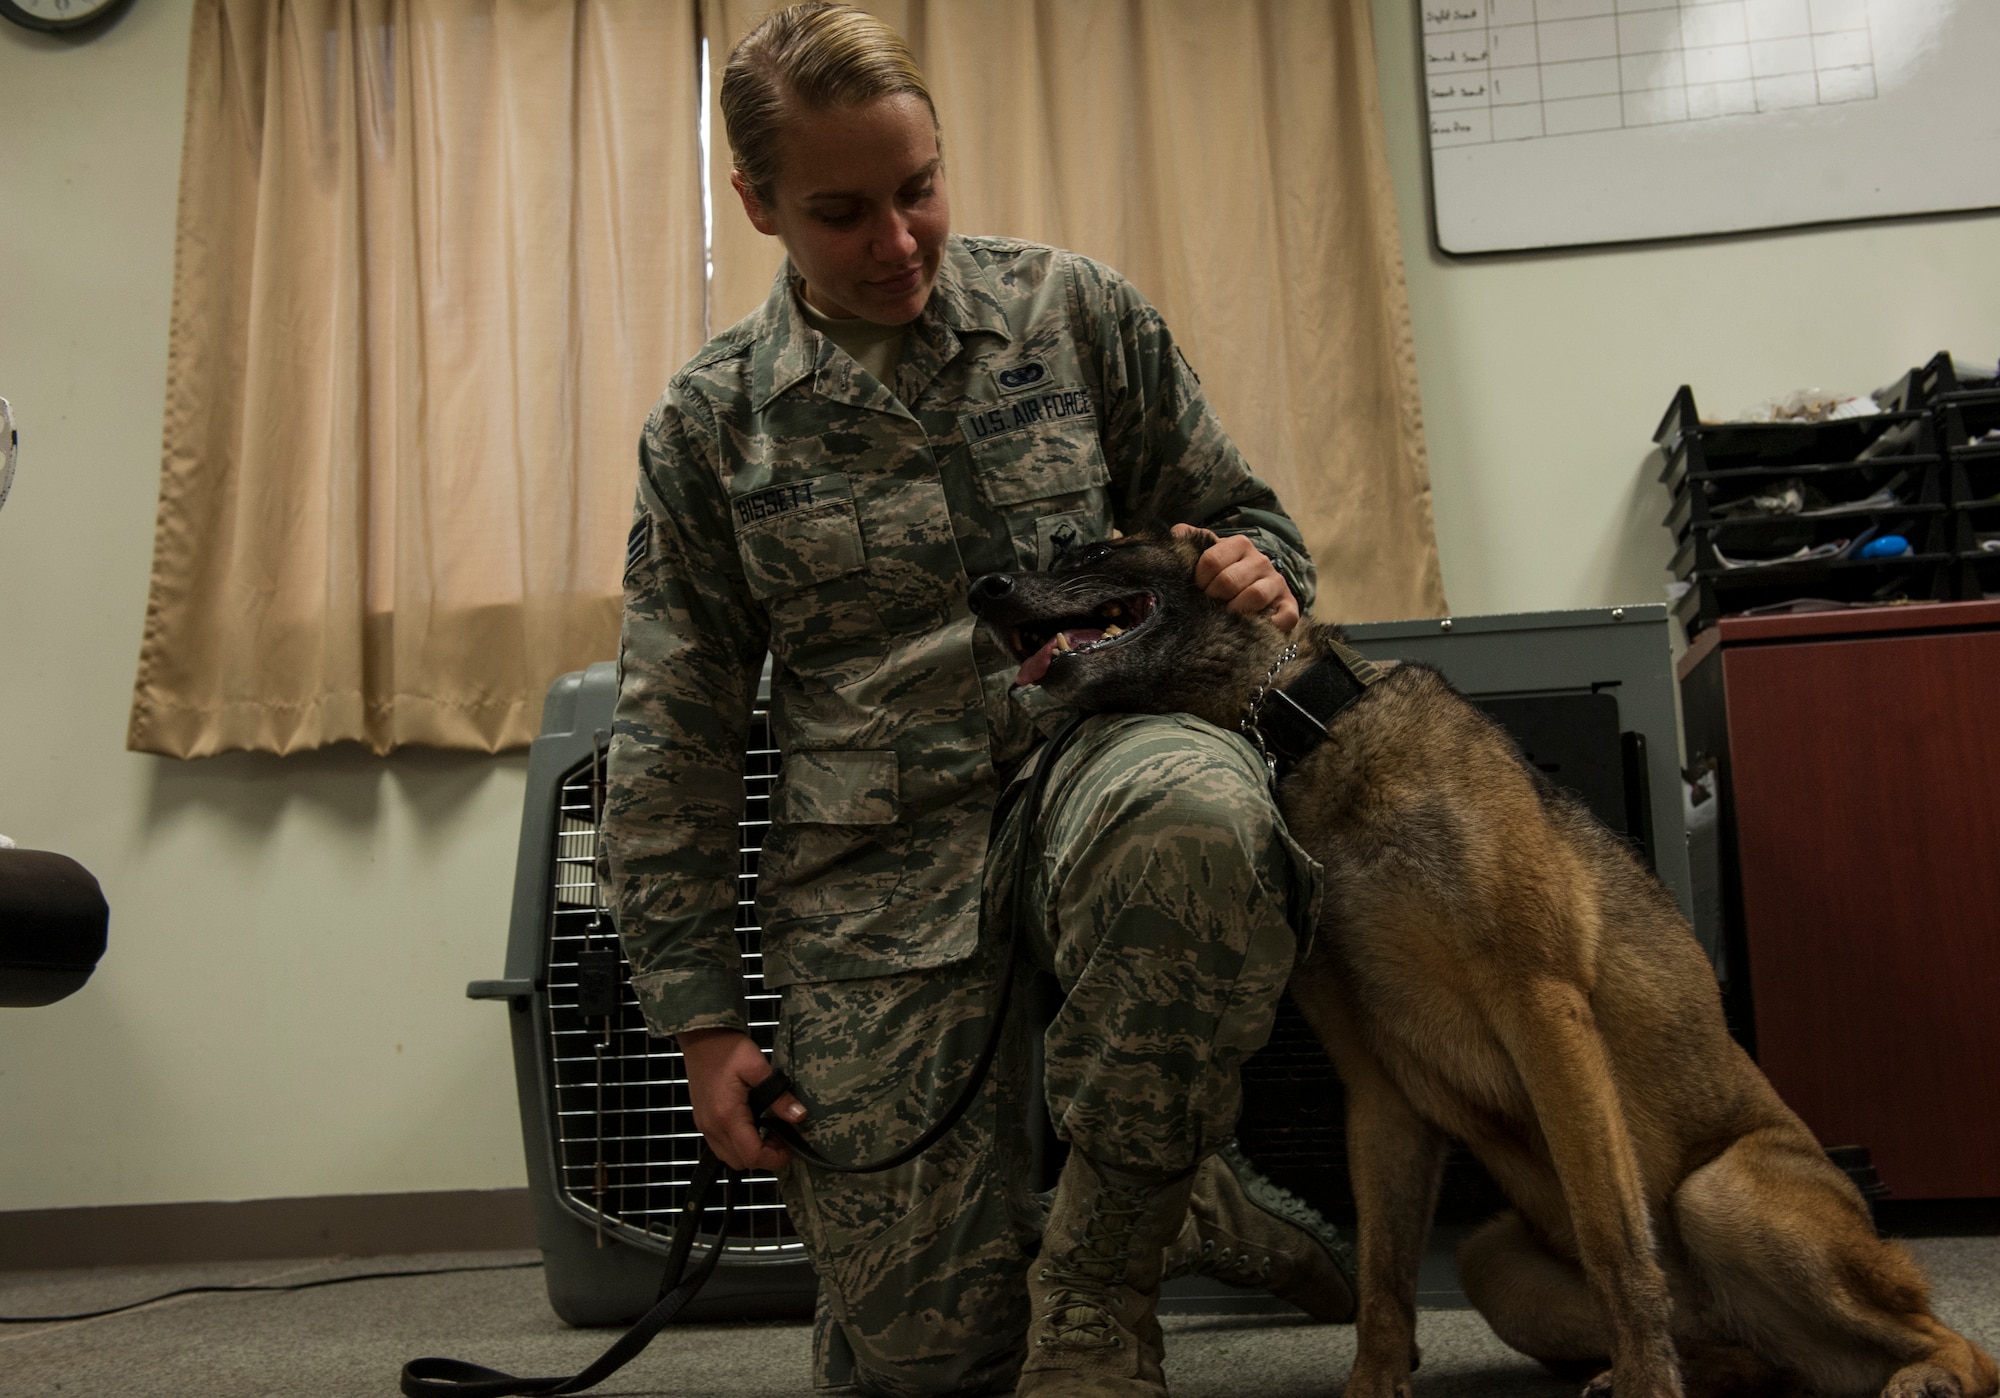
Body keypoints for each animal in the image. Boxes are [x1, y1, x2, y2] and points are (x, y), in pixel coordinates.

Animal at [964, 532, 1984, 1398]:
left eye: (1088, 552)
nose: (984, 587)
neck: (1306, 729)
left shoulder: (1541, 1008)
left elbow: (1615, 1239)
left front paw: (1646, 1380)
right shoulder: (1378, 1091)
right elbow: (1384, 1277)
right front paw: (1376, 1386)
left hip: (1724, 1192)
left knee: (1958, 1343)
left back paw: (1914, 1374)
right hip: (1495, 1261)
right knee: (1754, 1358)